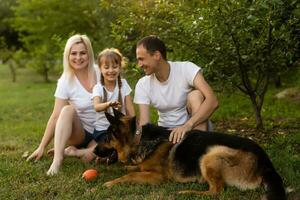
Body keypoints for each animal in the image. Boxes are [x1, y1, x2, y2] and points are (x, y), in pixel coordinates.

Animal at [94, 109, 286, 200]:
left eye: (106, 137)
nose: (94, 151)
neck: (138, 138)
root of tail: (266, 163)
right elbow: (131, 168)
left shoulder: (157, 177)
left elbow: (131, 175)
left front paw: (109, 183)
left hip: (210, 154)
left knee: (217, 191)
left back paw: (187, 192)